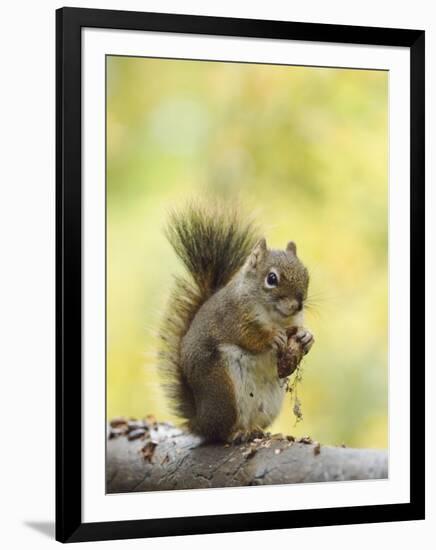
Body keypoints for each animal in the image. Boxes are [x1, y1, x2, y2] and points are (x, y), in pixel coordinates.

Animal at [158, 204, 316, 444]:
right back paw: (237, 433)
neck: (275, 317)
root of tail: (199, 422)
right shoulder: (232, 317)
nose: (298, 305)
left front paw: (306, 338)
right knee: (220, 432)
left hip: (268, 405)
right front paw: (273, 337)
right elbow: (248, 337)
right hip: (223, 389)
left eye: (306, 275)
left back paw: (257, 431)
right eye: (272, 278)